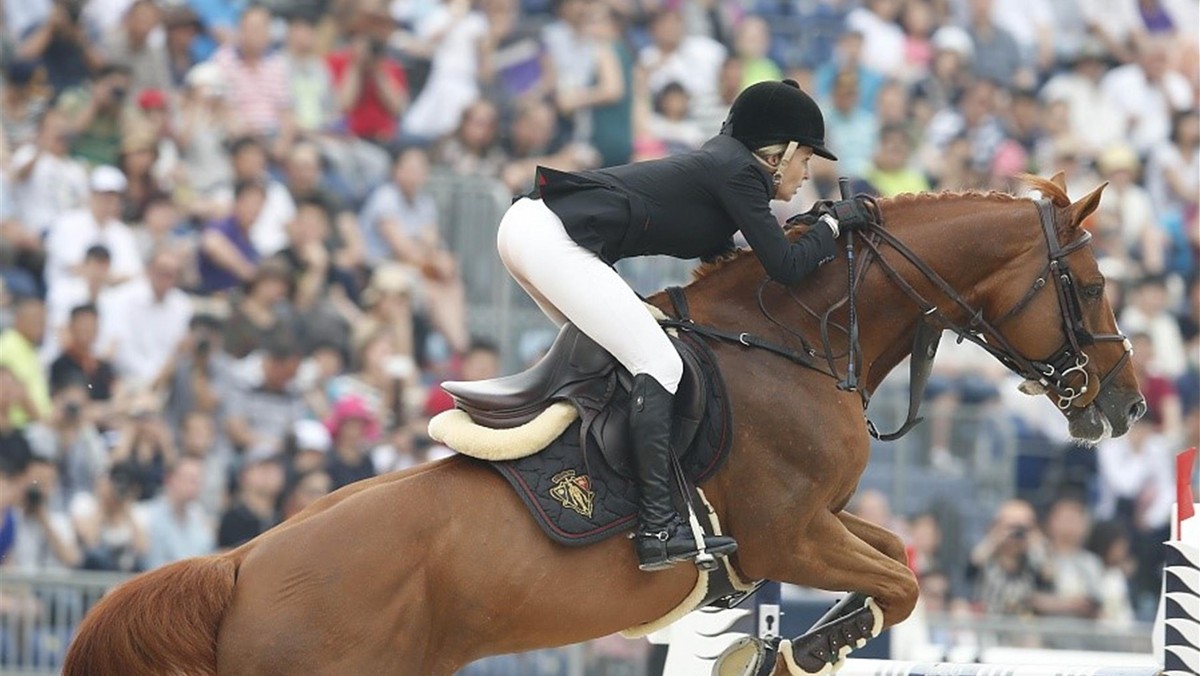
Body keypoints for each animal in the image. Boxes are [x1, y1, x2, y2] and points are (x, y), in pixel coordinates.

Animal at [63, 176, 1142, 676]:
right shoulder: (787, 533)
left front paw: (809, 636)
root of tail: (238, 567)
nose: (1128, 404)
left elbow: (895, 556)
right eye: (1090, 286)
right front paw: (809, 645)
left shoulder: (811, 527)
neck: (793, 337)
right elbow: (904, 580)